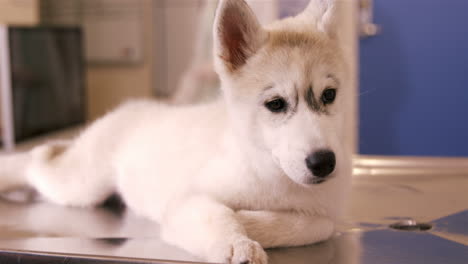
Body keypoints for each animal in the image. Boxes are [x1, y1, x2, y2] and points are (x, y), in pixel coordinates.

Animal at [0, 0, 352, 264]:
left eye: (329, 95)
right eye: (276, 104)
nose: (323, 163)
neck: (272, 173)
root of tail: (130, 108)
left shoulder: (328, 213)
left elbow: (317, 225)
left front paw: (252, 221)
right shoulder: (187, 199)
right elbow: (216, 214)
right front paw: (236, 241)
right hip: (81, 186)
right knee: (37, 158)